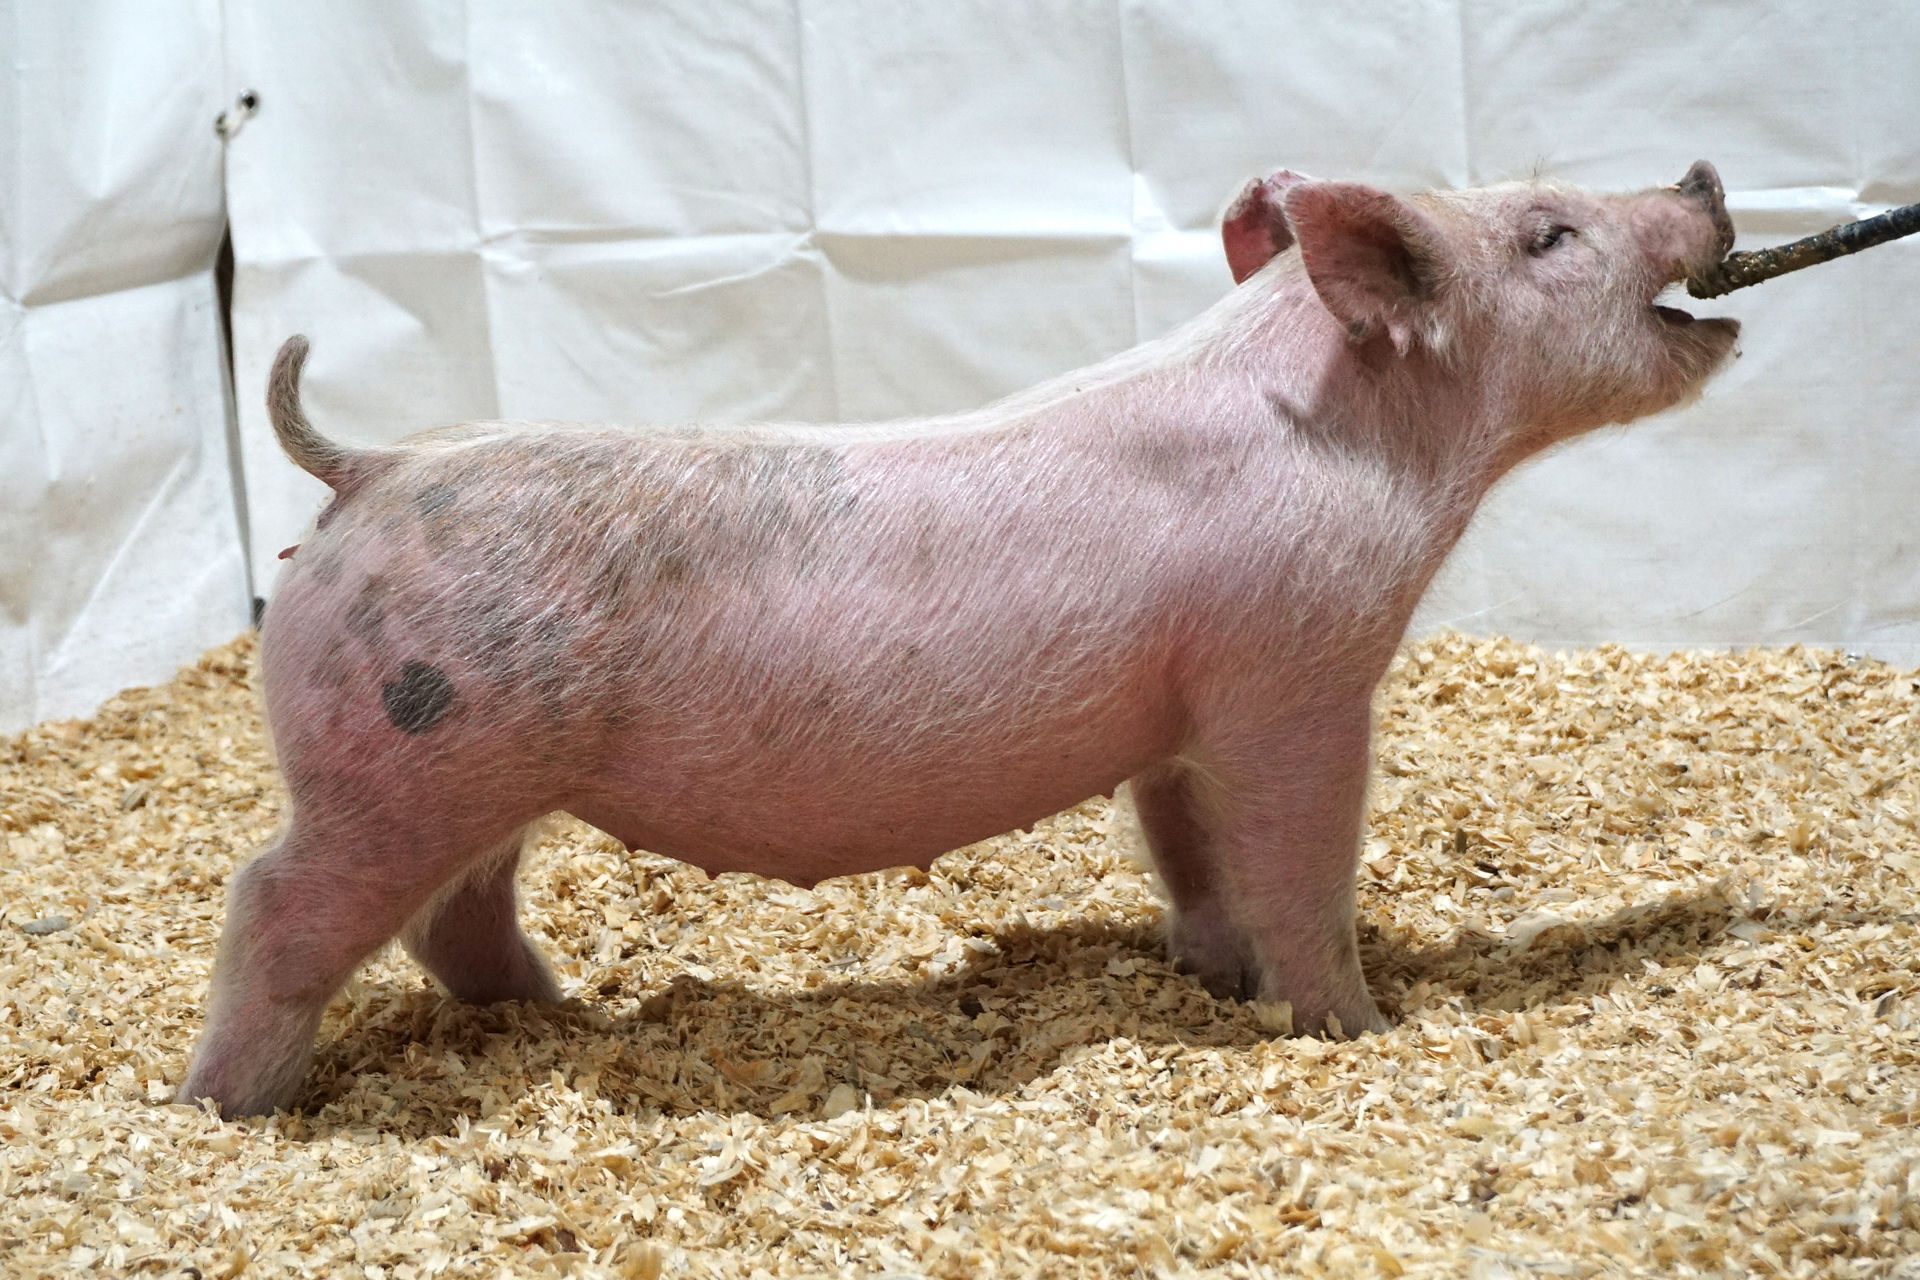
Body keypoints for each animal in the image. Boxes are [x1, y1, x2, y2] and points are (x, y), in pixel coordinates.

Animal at [180, 162, 1740, 1117]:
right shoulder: (1293, 674)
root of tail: (372, 468)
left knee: (455, 914)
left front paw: (1213, 978)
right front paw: (1350, 1027)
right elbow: (1299, 857)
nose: (1701, 180)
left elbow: (1189, 850)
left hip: (481, 771)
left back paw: (562, 1020)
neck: (1366, 440)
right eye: (1547, 234)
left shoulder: (1179, 713)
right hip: (398, 758)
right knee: (276, 895)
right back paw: (226, 1107)